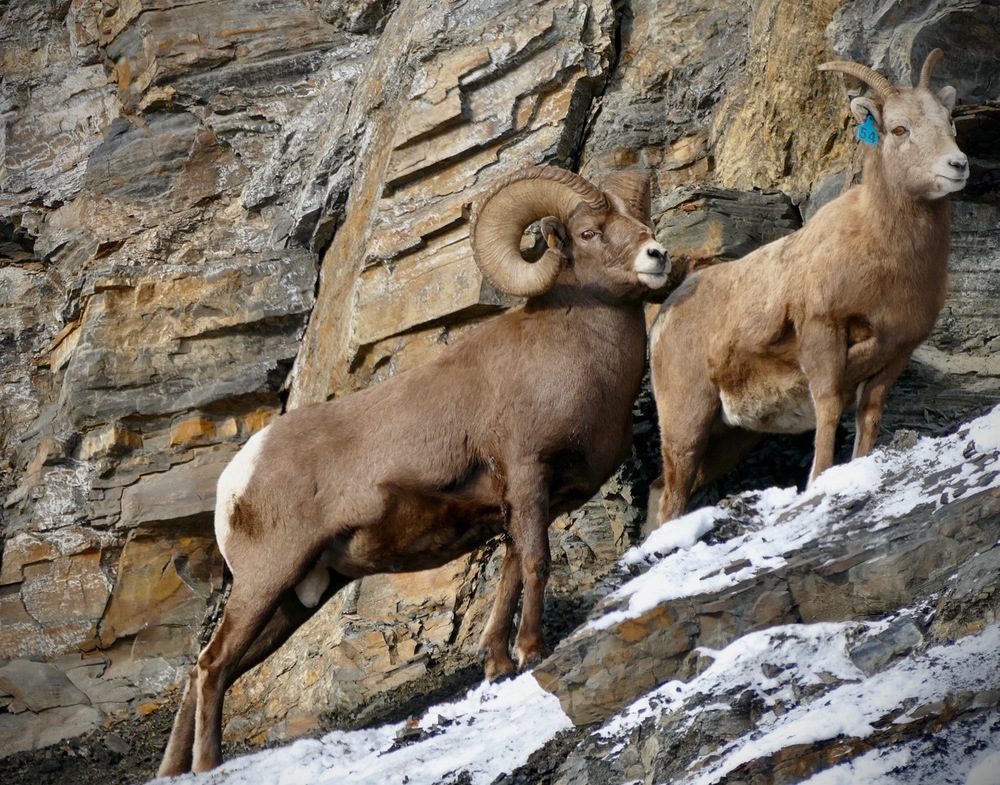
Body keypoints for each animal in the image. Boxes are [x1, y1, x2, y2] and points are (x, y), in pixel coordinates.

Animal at [157, 165, 674, 775]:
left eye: (640, 220)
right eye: (591, 233)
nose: (657, 255)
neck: (574, 357)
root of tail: (234, 482)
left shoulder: (525, 506)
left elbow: (511, 572)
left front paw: (499, 665)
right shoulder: (528, 477)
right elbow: (537, 564)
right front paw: (532, 651)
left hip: (294, 599)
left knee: (205, 672)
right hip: (267, 582)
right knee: (213, 666)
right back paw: (208, 766)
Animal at [646, 48, 968, 528]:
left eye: (949, 122)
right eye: (899, 129)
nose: (957, 165)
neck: (883, 253)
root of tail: (665, 317)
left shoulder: (893, 356)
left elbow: (868, 419)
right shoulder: (823, 336)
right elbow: (829, 410)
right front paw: (818, 482)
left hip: (729, 438)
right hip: (687, 421)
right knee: (670, 499)